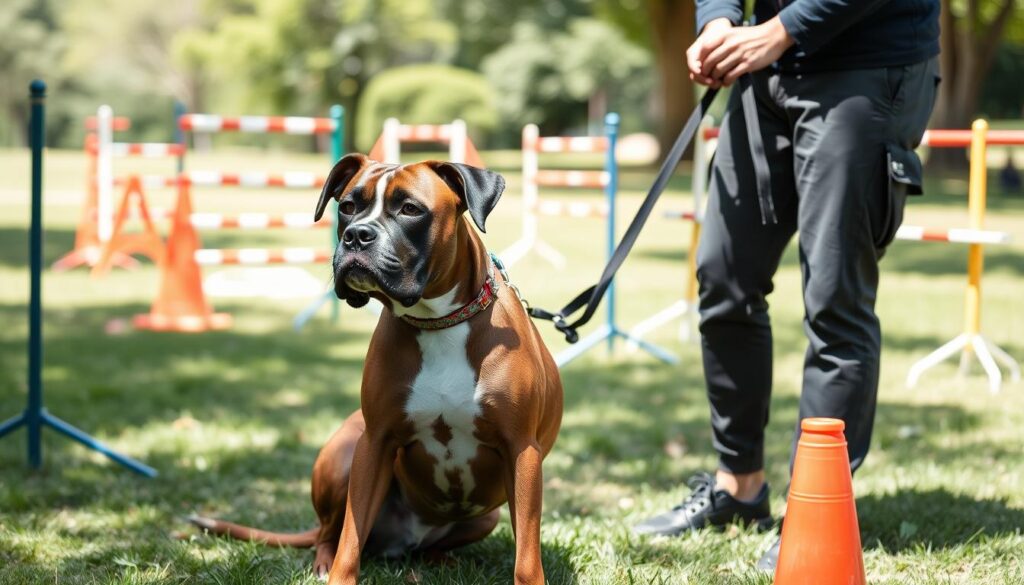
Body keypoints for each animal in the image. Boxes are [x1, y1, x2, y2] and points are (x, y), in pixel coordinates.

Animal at [191, 155, 561, 585]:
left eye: (410, 209)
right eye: (348, 206)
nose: (356, 235)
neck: (439, 323)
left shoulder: (522, 452)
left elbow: (527, 556)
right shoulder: (375, 444)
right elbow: (350, 539)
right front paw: (338, 575)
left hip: (488, 515)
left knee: (427, 546)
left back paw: (442, 560)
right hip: (344, 457)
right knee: (330, 534)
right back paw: (324, 563)